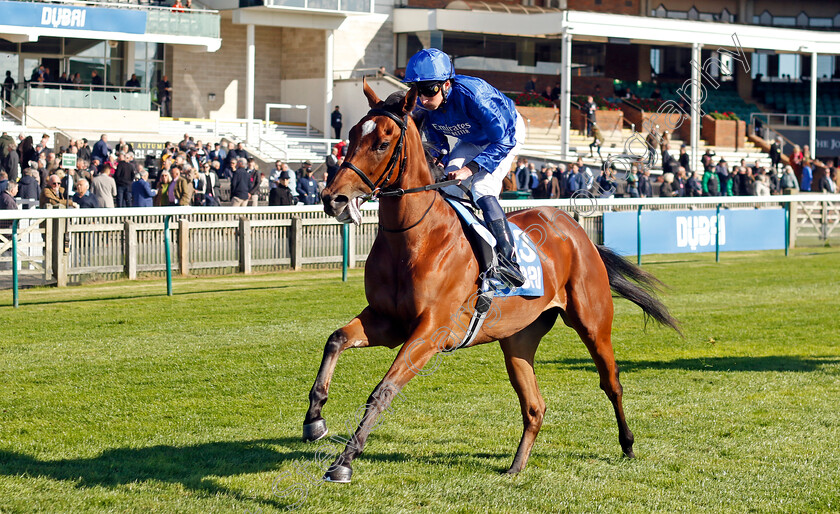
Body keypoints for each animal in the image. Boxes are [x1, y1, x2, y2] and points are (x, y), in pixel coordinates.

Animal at [310, 82, 684, 482]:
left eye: (382, 143)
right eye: (350, 136)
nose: (332, 198)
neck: (415, 238)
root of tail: (575, 229)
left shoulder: (430, 331)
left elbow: (383, 390)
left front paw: (344, 462)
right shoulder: (387, 321)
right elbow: (336, 339)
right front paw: (314, 419)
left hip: (593, 324)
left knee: (611, 382)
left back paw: (627, 444)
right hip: (518, 339)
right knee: (535, 406)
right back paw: (516, 466)